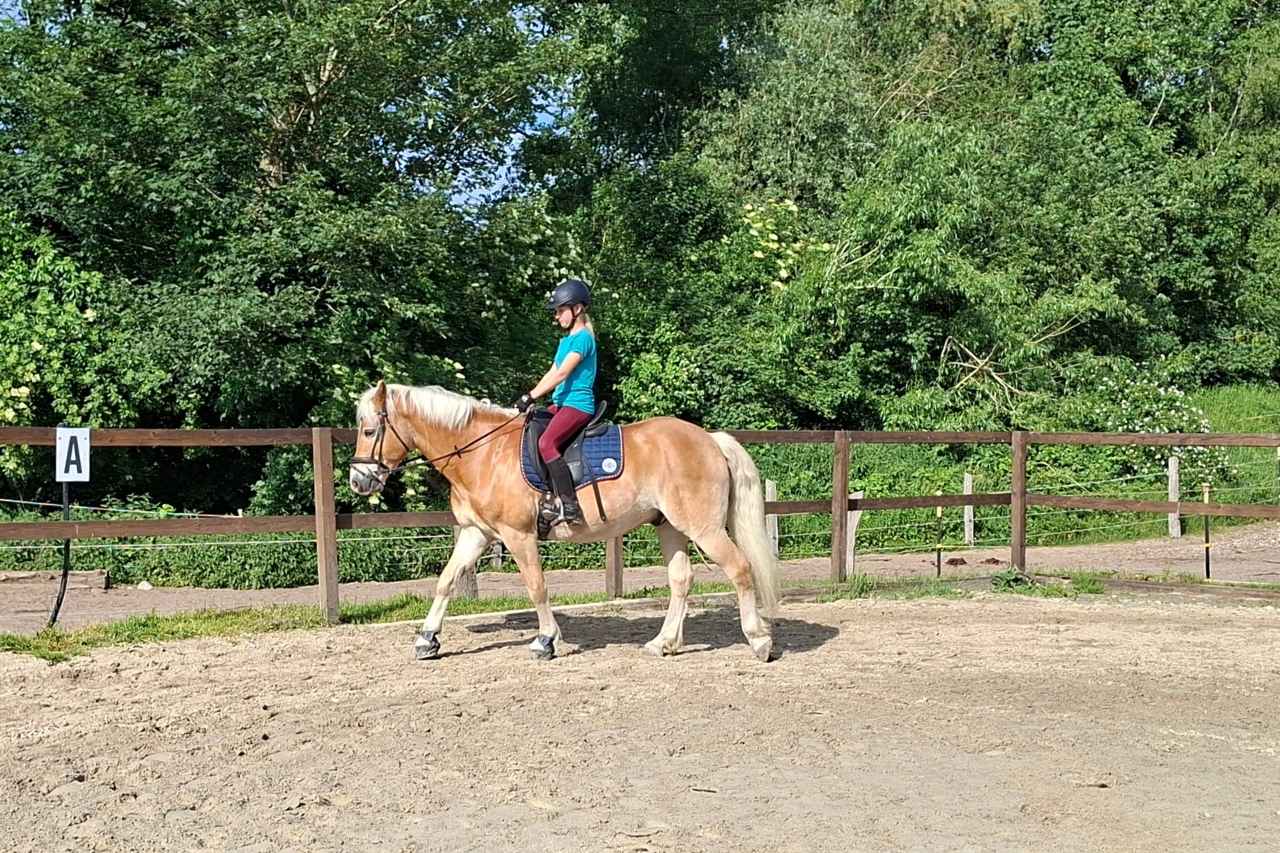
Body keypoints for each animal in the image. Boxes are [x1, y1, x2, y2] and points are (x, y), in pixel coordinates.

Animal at [347, 381, 780, 662]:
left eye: (369, 430)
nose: (358, 480)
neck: (483, 453)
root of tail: (709, 439)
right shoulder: (477, 533)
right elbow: (446, 581)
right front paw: (427, 639)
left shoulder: (518, 535)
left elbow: (537, 587)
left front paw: (546, 640)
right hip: (671, 526)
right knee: (681, 580)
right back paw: (664, 643)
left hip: (703, 528)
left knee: (740, 569)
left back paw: (759, 641)